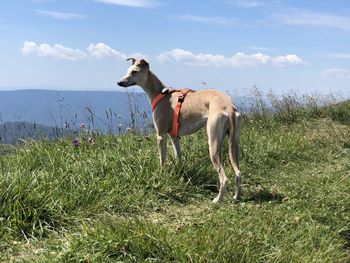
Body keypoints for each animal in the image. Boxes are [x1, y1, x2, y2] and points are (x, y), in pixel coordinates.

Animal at [117, 58, 241, 203]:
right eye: (128, 71)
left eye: (134, 71)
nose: (119, 82)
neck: (161, 94)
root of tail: (229, 107)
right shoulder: (174, 137)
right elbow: (179, 157)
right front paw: (179, 175)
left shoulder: (161, 135)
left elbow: (162, 160)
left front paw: (162, 176)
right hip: (234, 144)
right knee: (238, 173)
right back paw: (236, 196)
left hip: (213, 143)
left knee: (224, 178)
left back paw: (217, 200)